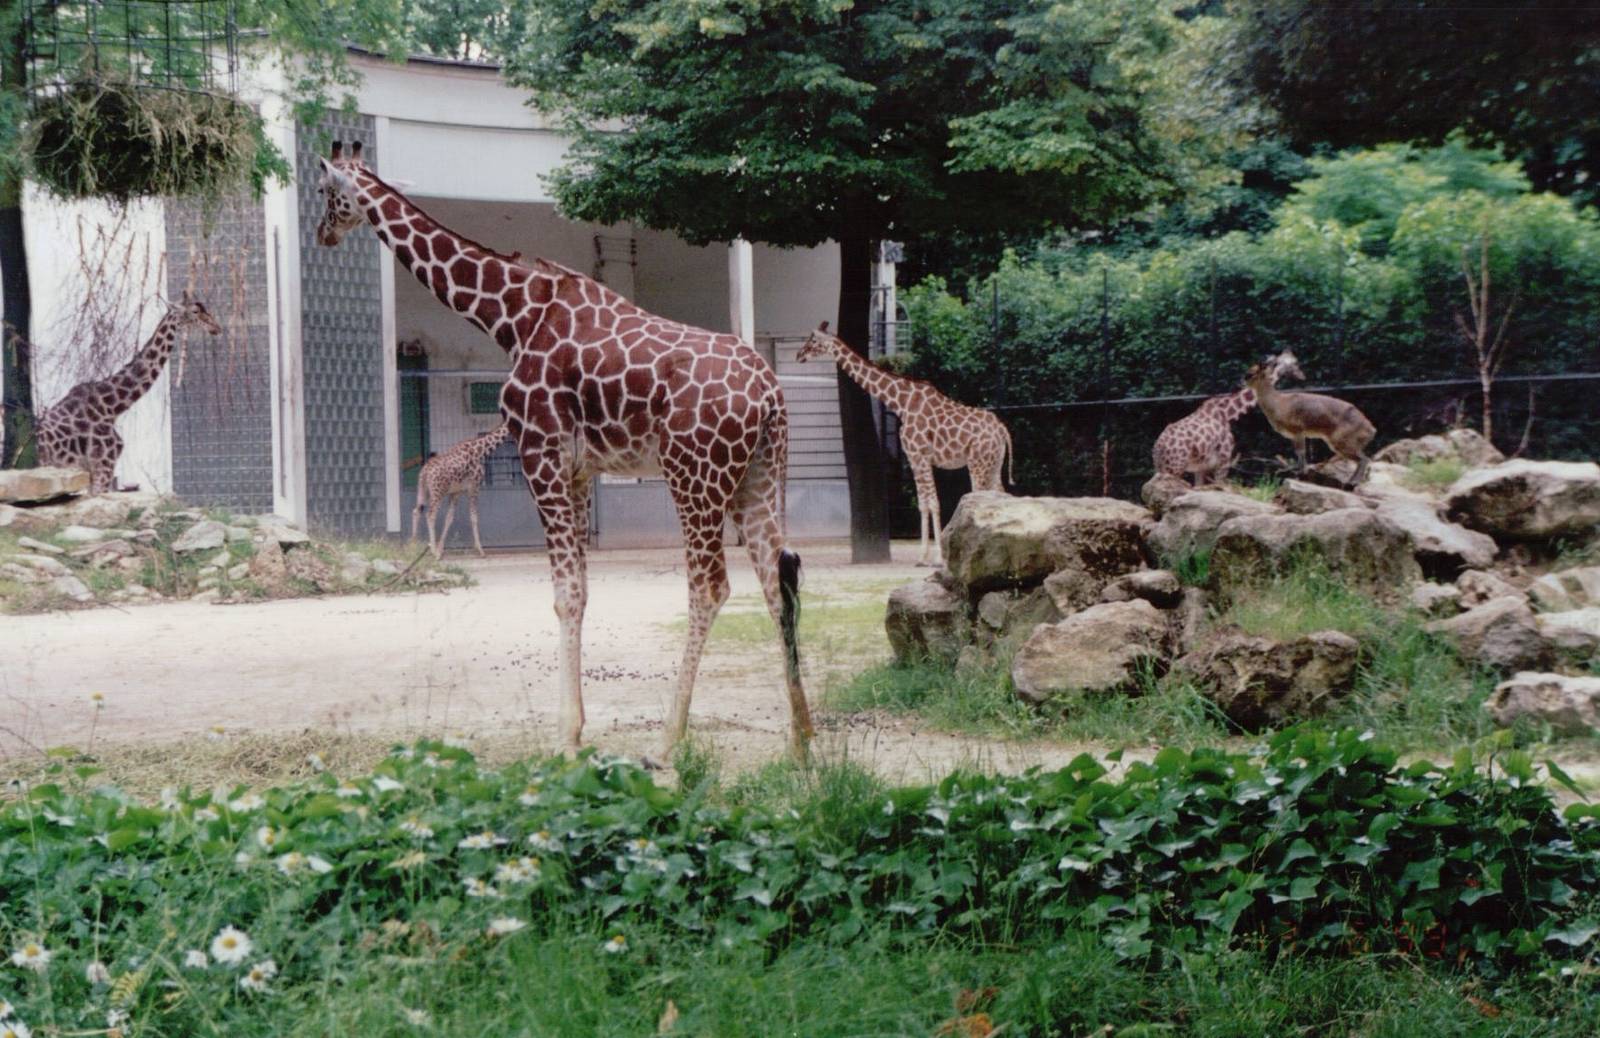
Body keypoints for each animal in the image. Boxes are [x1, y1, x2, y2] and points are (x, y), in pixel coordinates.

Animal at [35, 291, 221, 493]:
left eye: (205, 308)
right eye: (195, 311)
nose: (216, 327)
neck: (111, 407)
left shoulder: (93, 470)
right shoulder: (104, 463)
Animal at [412, 423, 510, 559]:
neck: (480, 450)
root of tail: (425, 472)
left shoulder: (456, 492)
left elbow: (449, 518)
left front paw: (440, 549)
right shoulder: (474, 487)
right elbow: (474, 517)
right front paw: (480, 550)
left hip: (423, 491)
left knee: (416, 511)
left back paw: (412, 546)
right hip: (437, 492)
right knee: (430, 514)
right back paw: (433, 552)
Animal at [797, 324, 1013, 566]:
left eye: (813, 340)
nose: (799, 355)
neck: (901, 403)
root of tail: (1002, 429)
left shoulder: (920, 455)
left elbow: (933, 502)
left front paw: (937, 557)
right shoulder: (913, 458)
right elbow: (923, 503)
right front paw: (923, 557)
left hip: (978, 464)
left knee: (980, 499)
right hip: (993, 464)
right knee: (1002, 497)